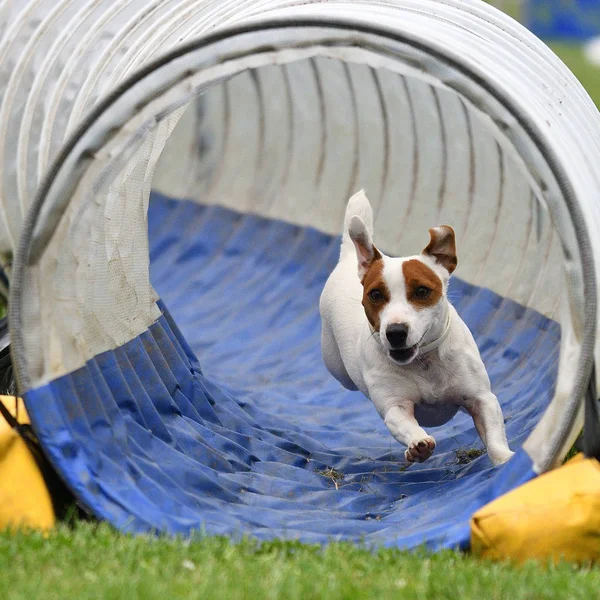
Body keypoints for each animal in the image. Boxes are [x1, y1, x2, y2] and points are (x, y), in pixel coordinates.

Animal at [322, 190, 512, 466]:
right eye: (375, 294)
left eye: (422, 291)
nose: (395, 332)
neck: (424, 361)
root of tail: (349, 259)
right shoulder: (395, 406)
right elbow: (404, 424)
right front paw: (418, 446)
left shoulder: (481, 398)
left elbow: (495, 435)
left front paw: (506, 460)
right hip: (336, 366)